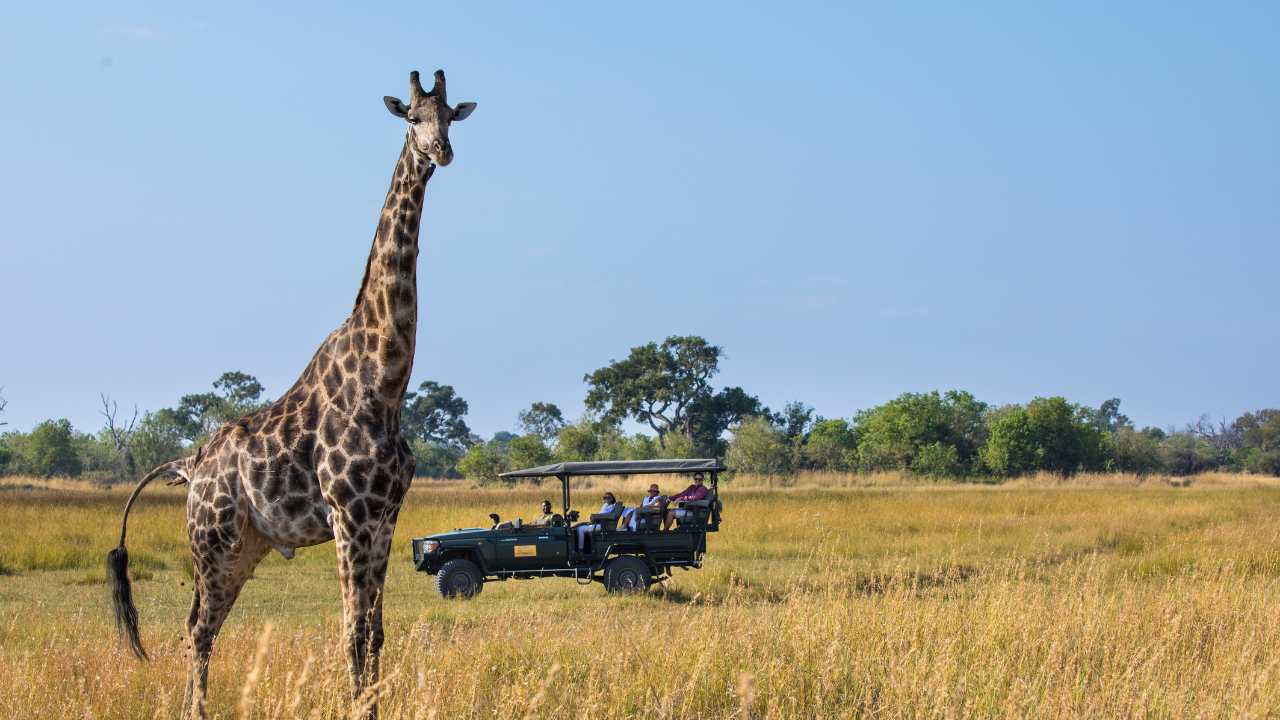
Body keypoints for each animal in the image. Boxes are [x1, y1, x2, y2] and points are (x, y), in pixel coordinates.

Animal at [106, 69, 476, 720]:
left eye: (450, 116)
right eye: (412, 118)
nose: (441, 152)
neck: (385, 382)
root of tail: (189, 466)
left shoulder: (385, 516)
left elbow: (376, 632)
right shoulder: (349, 513)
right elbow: (352, 631)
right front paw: (357, 710)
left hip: (243, 547)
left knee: (200, 625)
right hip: (212, 543)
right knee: (197, 628)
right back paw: (195, 710)